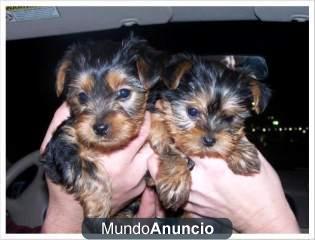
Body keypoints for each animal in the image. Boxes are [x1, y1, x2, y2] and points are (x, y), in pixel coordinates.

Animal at [150, 54, 272, 210]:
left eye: (229, 118)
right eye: (192, 111)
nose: (209, 140)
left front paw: (242, 152)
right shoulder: (156, 118)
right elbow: (167, 147)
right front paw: (175, 182)